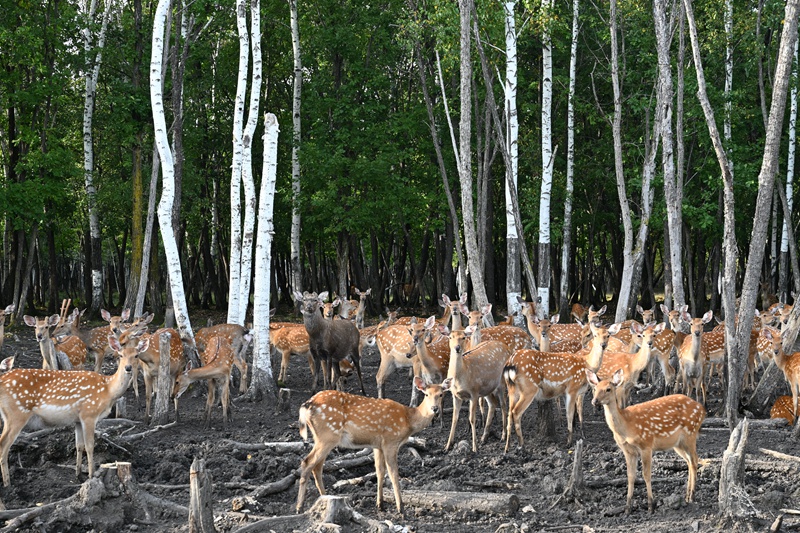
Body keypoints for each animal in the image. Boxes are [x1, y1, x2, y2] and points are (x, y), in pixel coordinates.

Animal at [0, 334, 146, 487]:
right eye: (120, 355)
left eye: (136, 355)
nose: (128, 368)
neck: (108, 390)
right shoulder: (89, 413)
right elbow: (89, 446)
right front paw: (91, 476)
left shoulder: (77, 420)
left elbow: (79, 445)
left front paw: (78, 475)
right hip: (16, 414)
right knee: (3, 445)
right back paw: (7, 483)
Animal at [296, 376, 452, 514]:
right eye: (426, 394)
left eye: (441, 394)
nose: (435, 408)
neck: (408, 421)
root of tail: (306, 405)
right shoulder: (390, 441)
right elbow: (393, 473)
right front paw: (401, 508)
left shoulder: (378, 445)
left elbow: (380, 471)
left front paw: (380, 504)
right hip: (327, 435)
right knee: (307, 462)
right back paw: (299, 507)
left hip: (322, 437)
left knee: (317, 467)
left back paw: (324, 498)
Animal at [504, 322, 617, 450]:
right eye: (595, 335)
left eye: (608, 335)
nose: (603, 345)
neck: (586, 364)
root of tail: (510, 363)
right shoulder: (572, 388)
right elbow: (569, 414)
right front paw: (569, 442)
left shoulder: (565, 392)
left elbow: (571, 413)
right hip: (529, 388)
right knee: (516, 412)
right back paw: (521, 446)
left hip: (512, 388)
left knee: (509, 411)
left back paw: (507, 447)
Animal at [587, 369, 705, 514]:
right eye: (595, 388)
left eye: (608, 389)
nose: (595, 401)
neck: (626, 426)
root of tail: (702, 409)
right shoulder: (627, 450)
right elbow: (630, 476)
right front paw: (627, 508)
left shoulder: (646, 444)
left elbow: (646, 475)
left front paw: (650, 506)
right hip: (678, 443)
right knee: (689, 461)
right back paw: (687, 496)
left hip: (690, 433)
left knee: (694, 460)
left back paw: (692, 496)